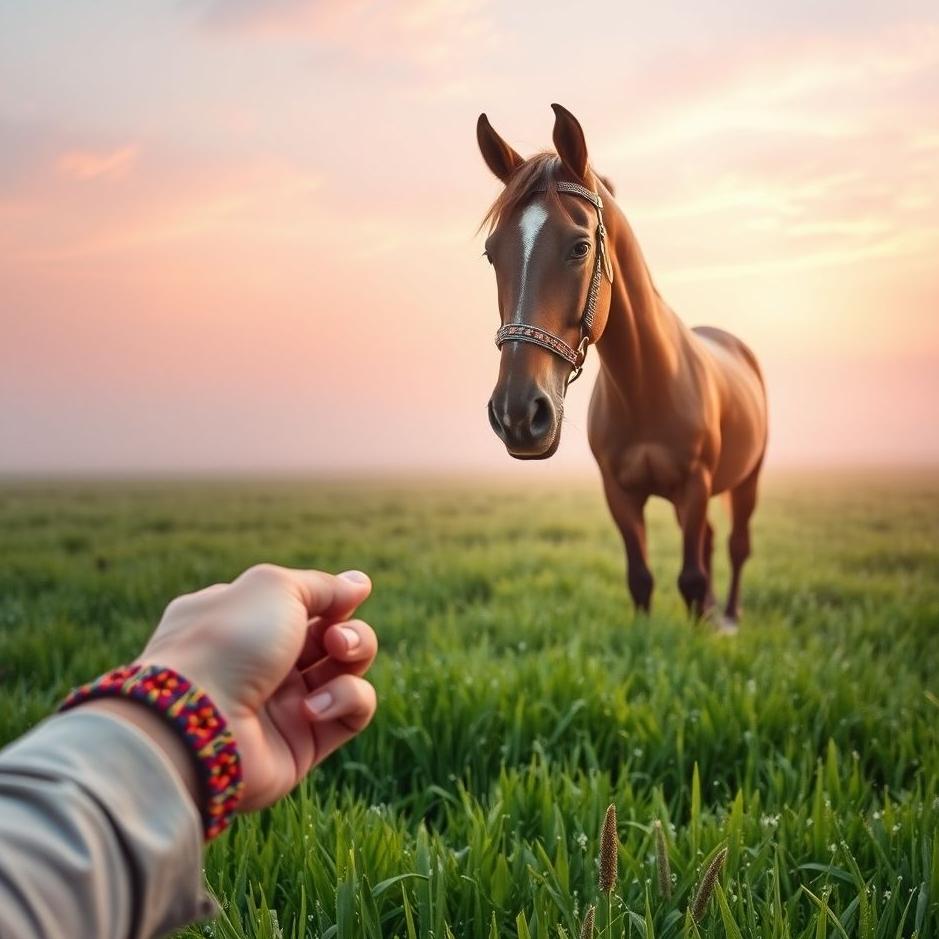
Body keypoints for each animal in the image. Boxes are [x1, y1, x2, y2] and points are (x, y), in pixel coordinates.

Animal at [476, 104, 768, 627]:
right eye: (492, 254)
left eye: (580, 247)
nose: (517, 415)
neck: (646, 384)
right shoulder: (619, 493)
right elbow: (642, 579)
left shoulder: (695, 486)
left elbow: (690, 578)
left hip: (746, 481)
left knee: (736, 545)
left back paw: (730, 616)